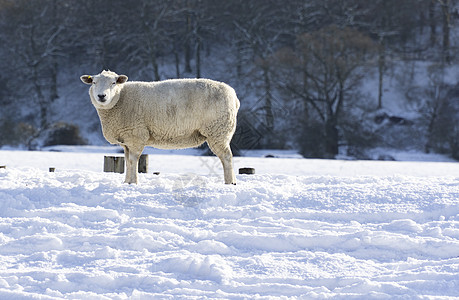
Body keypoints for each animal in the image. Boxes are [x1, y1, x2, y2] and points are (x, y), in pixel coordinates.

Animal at [81, 69, 241, 185]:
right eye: (93, 82)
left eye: (113, 82)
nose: (102, 96)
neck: (121, 98)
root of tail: (234, 96)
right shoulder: (127, 139)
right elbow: (127, 161)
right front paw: (126, 182)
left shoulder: (136, 135)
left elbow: (133, 160)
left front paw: (133, 183)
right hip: (219, 131)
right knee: (226, 157)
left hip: (218, 130)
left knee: (227, 157)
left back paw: (229, 182)